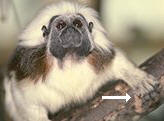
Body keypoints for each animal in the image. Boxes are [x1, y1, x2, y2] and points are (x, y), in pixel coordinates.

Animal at [2, 0, 159, 121]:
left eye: (77, 24)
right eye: (60, 25)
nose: (70, 29)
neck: (70, 59)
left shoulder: (99, 58)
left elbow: (117, 60)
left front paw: (139, 79)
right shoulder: (30, 71)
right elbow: (23, 99)